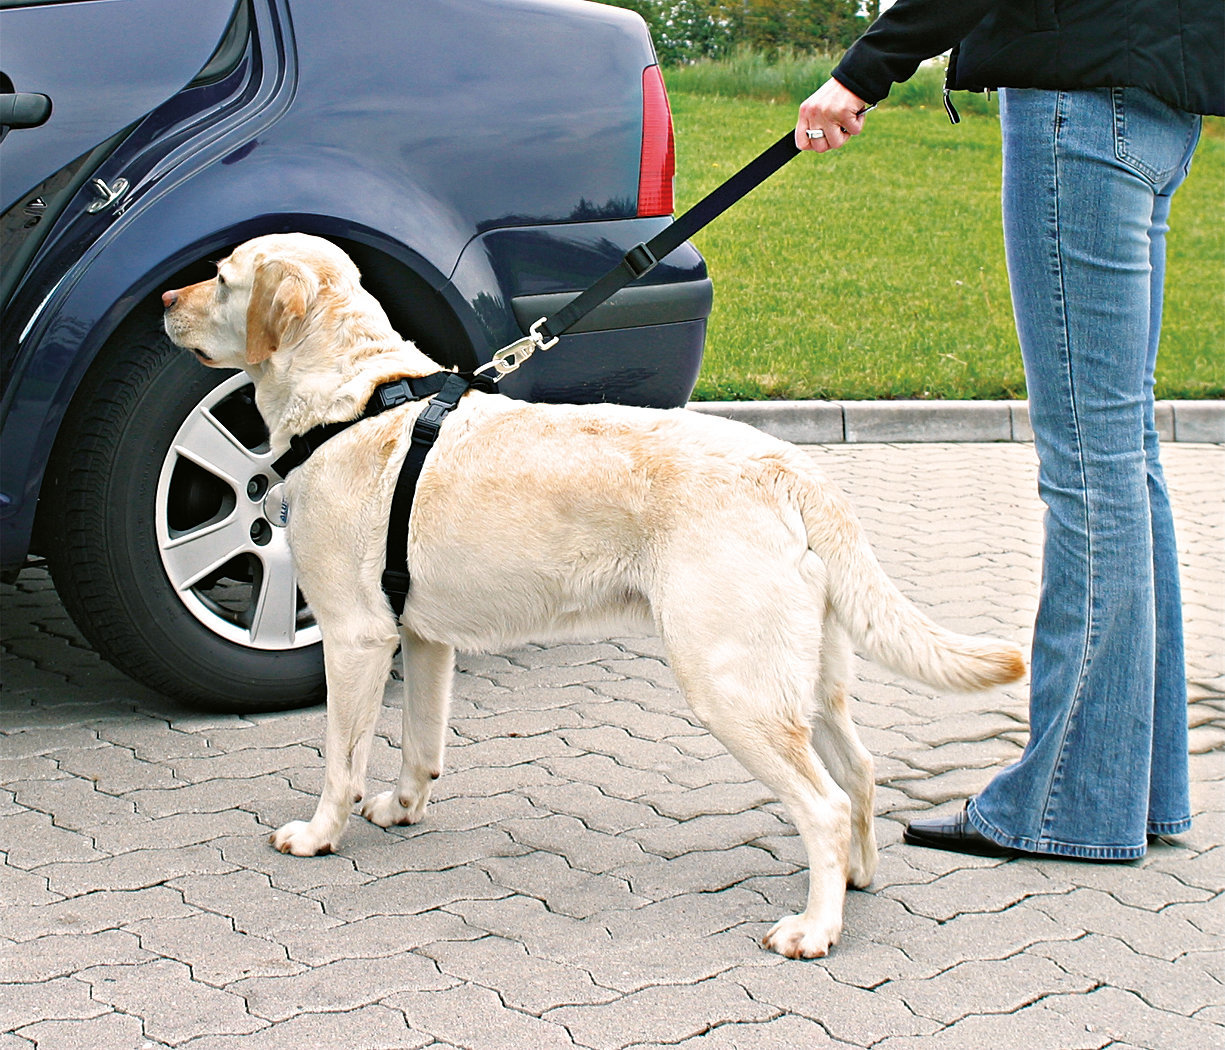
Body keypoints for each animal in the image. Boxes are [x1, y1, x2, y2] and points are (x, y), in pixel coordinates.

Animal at [162, 234, 1024, 955]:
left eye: (223, 277)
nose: (165, 297)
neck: (353, 397)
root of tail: (788, 467)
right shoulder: (424, 637)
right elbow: (420, 743)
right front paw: (402, 807)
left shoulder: (354, 635)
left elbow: (340, 760)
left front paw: (319, 834)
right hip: (810, 677)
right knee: (862, 774)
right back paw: (853, 881)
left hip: (729, 682)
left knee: (823, 806)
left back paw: (813, 928)